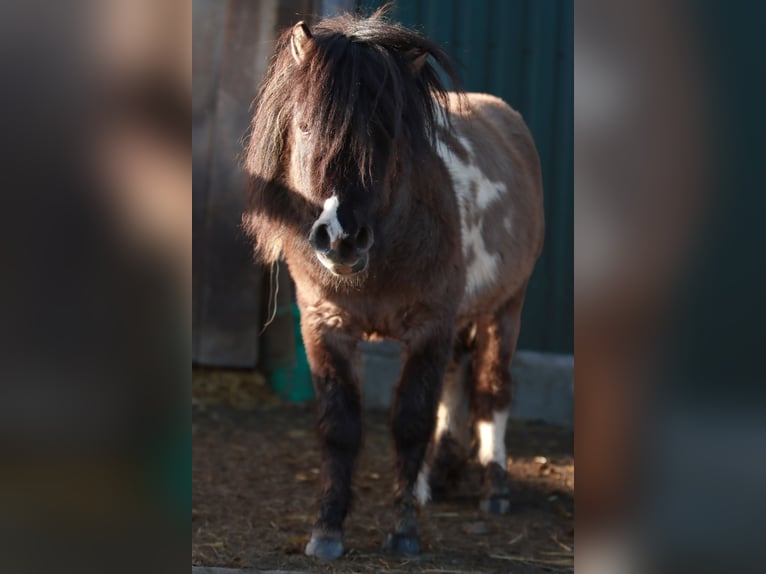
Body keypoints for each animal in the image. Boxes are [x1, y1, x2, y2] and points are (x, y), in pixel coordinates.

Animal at [243, 8, 544, 560]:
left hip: (505, 309)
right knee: (456, 380)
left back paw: (494, 489)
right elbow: (340, 428)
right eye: (304, 126)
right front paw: (326, 532)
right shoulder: (326, 327)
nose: (342, 237)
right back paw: (438, 477)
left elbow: (409, 424)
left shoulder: (429, 327)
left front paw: (404, 532)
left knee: (491, 391)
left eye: (389, 134)